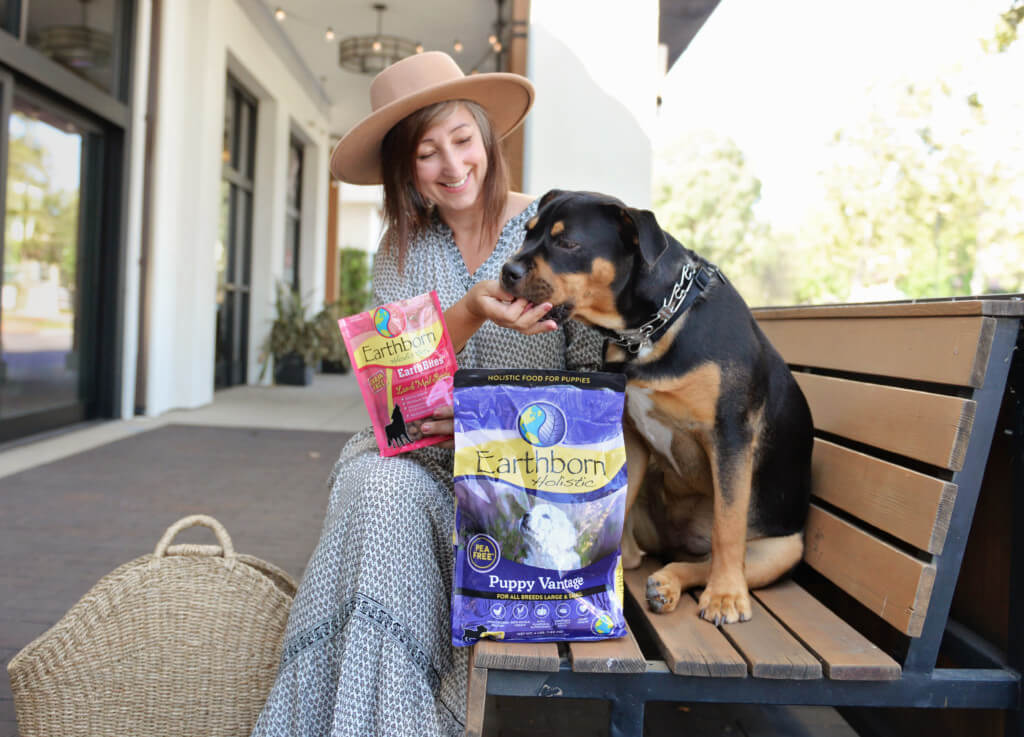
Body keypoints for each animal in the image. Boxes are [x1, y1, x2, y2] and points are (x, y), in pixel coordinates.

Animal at [499, 191, 811, 626]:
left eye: (568, 243)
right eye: (528, 234)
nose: (506, 270)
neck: (650, 330)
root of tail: (677, 543)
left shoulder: (730, 435)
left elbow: (728, 525)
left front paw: (726, 596)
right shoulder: (631, 434)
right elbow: (620, 499)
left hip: (783, 548)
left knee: (714, 557)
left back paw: (679, 583)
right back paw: (651, 572)